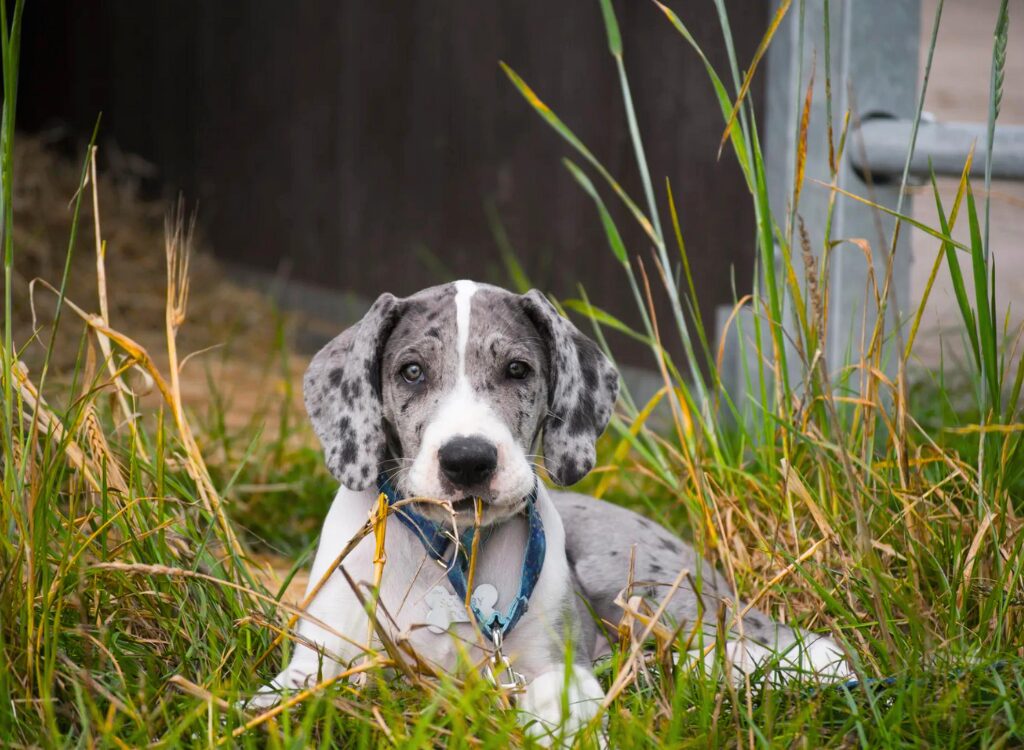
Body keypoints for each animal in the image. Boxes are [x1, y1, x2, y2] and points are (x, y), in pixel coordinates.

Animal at [251, 282, 851, 745]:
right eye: (412, 371)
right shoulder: (324, 651)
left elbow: (557, 700)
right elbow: (293, 691)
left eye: (518, 369)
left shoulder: (557, 663)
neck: (455, 549)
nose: (467, 459)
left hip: (647, 589)